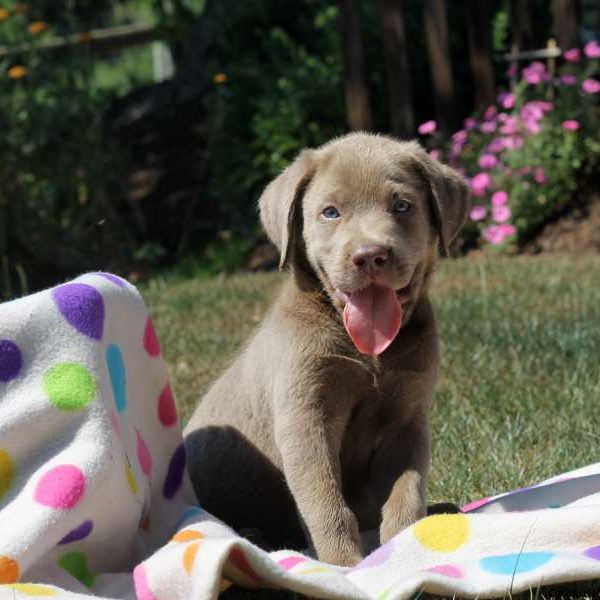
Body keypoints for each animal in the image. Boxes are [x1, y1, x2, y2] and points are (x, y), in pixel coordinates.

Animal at [183, 132, 468, 568]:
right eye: (330, 212)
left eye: (402, 206)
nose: (370, 256)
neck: (368, 352)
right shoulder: (305, 417)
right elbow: (325, 503)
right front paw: (344, 566)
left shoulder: (407, 420)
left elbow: (406, 494)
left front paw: (404, 549)